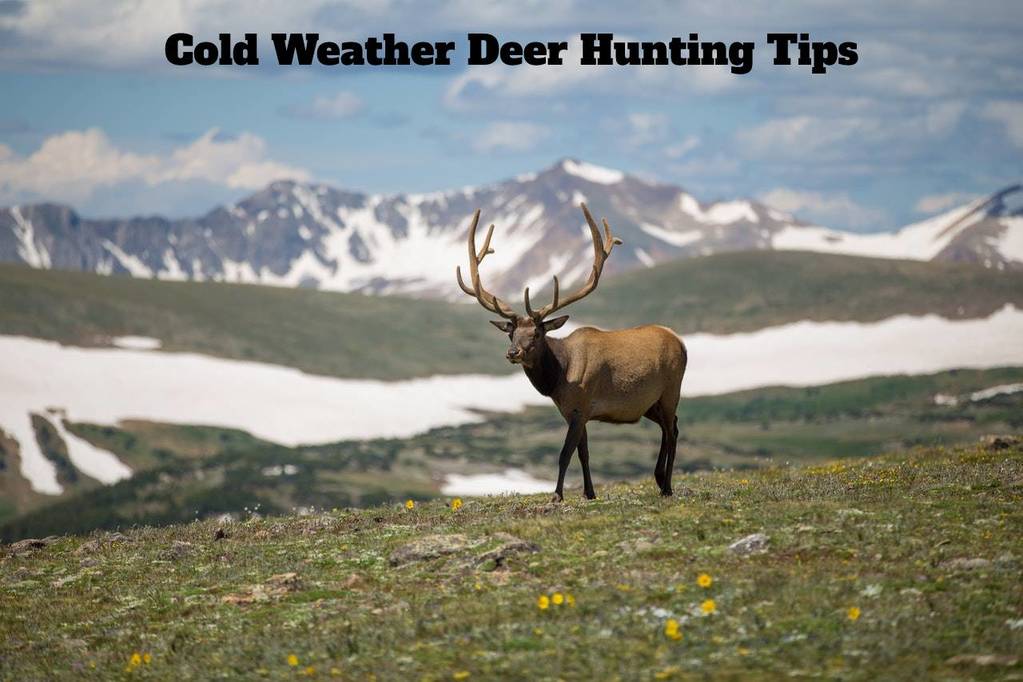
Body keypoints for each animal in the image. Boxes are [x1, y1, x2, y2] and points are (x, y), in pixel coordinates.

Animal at [456, 203, 687, 502]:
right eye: (510, 332)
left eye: (537, 333)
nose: (513, 352)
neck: (559, 379)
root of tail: (680, 341)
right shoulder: (573, 411)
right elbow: (583, 453)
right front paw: (589, 493)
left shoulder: (581, 404)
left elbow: (565, 453)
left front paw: (557, 495)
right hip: (649, 403)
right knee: (671, 427)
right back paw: (658, 479)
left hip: (671, 390)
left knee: (672, 430)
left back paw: (667, 485)